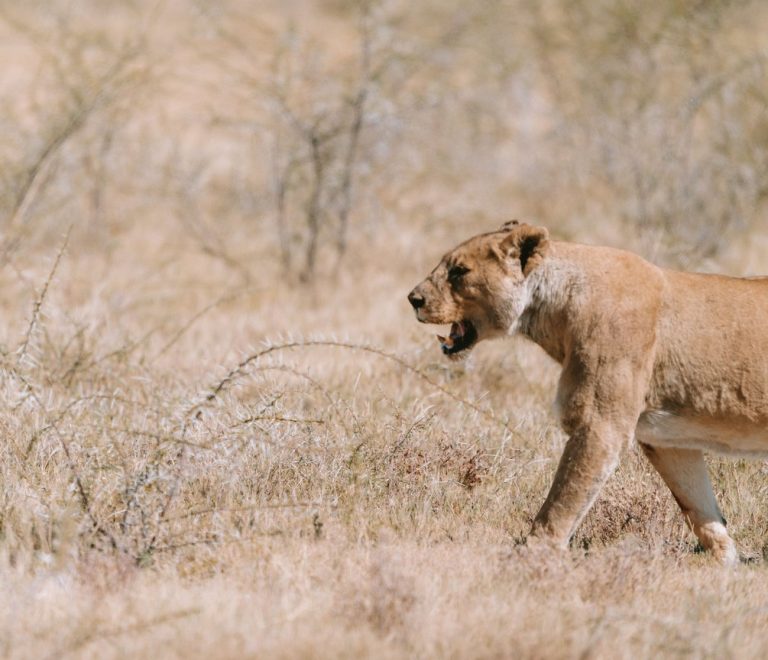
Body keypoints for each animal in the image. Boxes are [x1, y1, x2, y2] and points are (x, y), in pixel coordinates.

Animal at [408, 220, 768, 563]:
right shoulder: (669, 440)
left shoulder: (600, 424)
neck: (555, 310)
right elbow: (698, 505)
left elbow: (563, 500)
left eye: (459, 271)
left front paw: (532, 555)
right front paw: (725, 560)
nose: (413, 299)